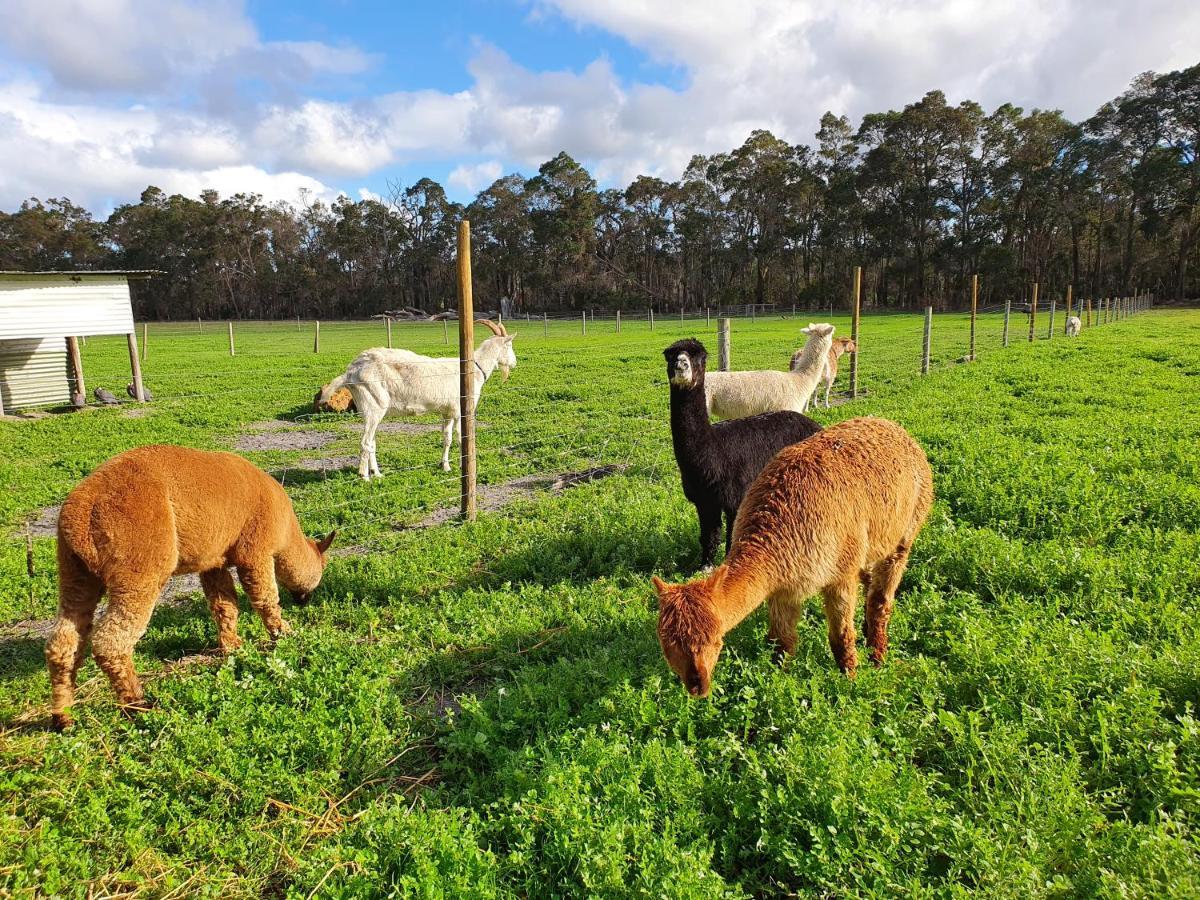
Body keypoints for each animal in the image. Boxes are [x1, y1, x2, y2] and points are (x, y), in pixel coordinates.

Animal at [321, 321, 518, 482]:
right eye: (509, 345)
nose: (514, 363)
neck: (474, 369)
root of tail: (351, 372)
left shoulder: (447, 412)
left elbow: (446, 438)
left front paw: (445, 466)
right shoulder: (460, 410)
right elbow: (461, 437)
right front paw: (465, 467)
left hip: (368, 409)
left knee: (371, 442)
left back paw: (377, 473)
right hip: (374, 405)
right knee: (365, 442)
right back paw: (364, 476)